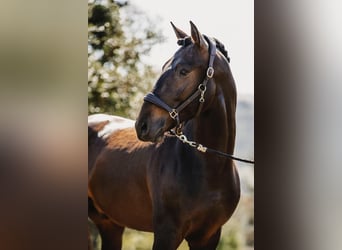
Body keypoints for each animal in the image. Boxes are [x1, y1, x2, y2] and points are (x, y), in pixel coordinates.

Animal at [88, 22, 240, 250]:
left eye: (183, 71)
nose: (142, 125)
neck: (210, 168)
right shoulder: (167, 233)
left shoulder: (209, 237)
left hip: (110, 225)